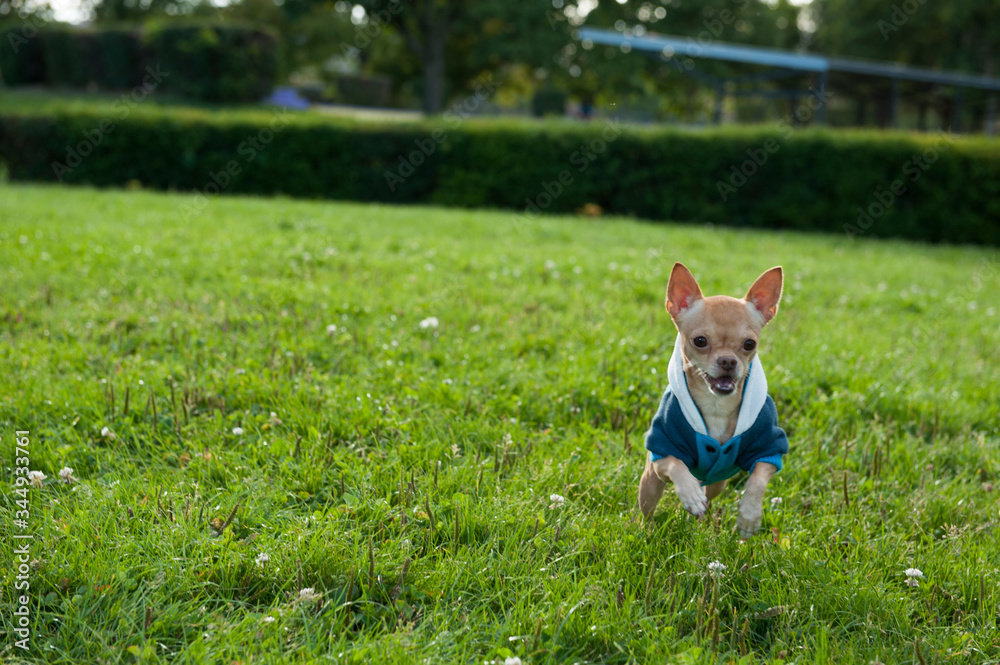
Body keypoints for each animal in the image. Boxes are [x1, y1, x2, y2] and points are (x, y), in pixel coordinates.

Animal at [640, 262, 788, 536]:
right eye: (700, 341)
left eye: (749, 344)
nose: (728, 361)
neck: (716, 405)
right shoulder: (662, 453)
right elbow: (676, 465)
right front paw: (689, 493)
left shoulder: (769, 451)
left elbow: (758, 479)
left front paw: (749, 516)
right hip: (650, 482)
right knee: (647, 510)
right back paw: (646, 529)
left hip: (718, 481)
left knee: (708, 497)